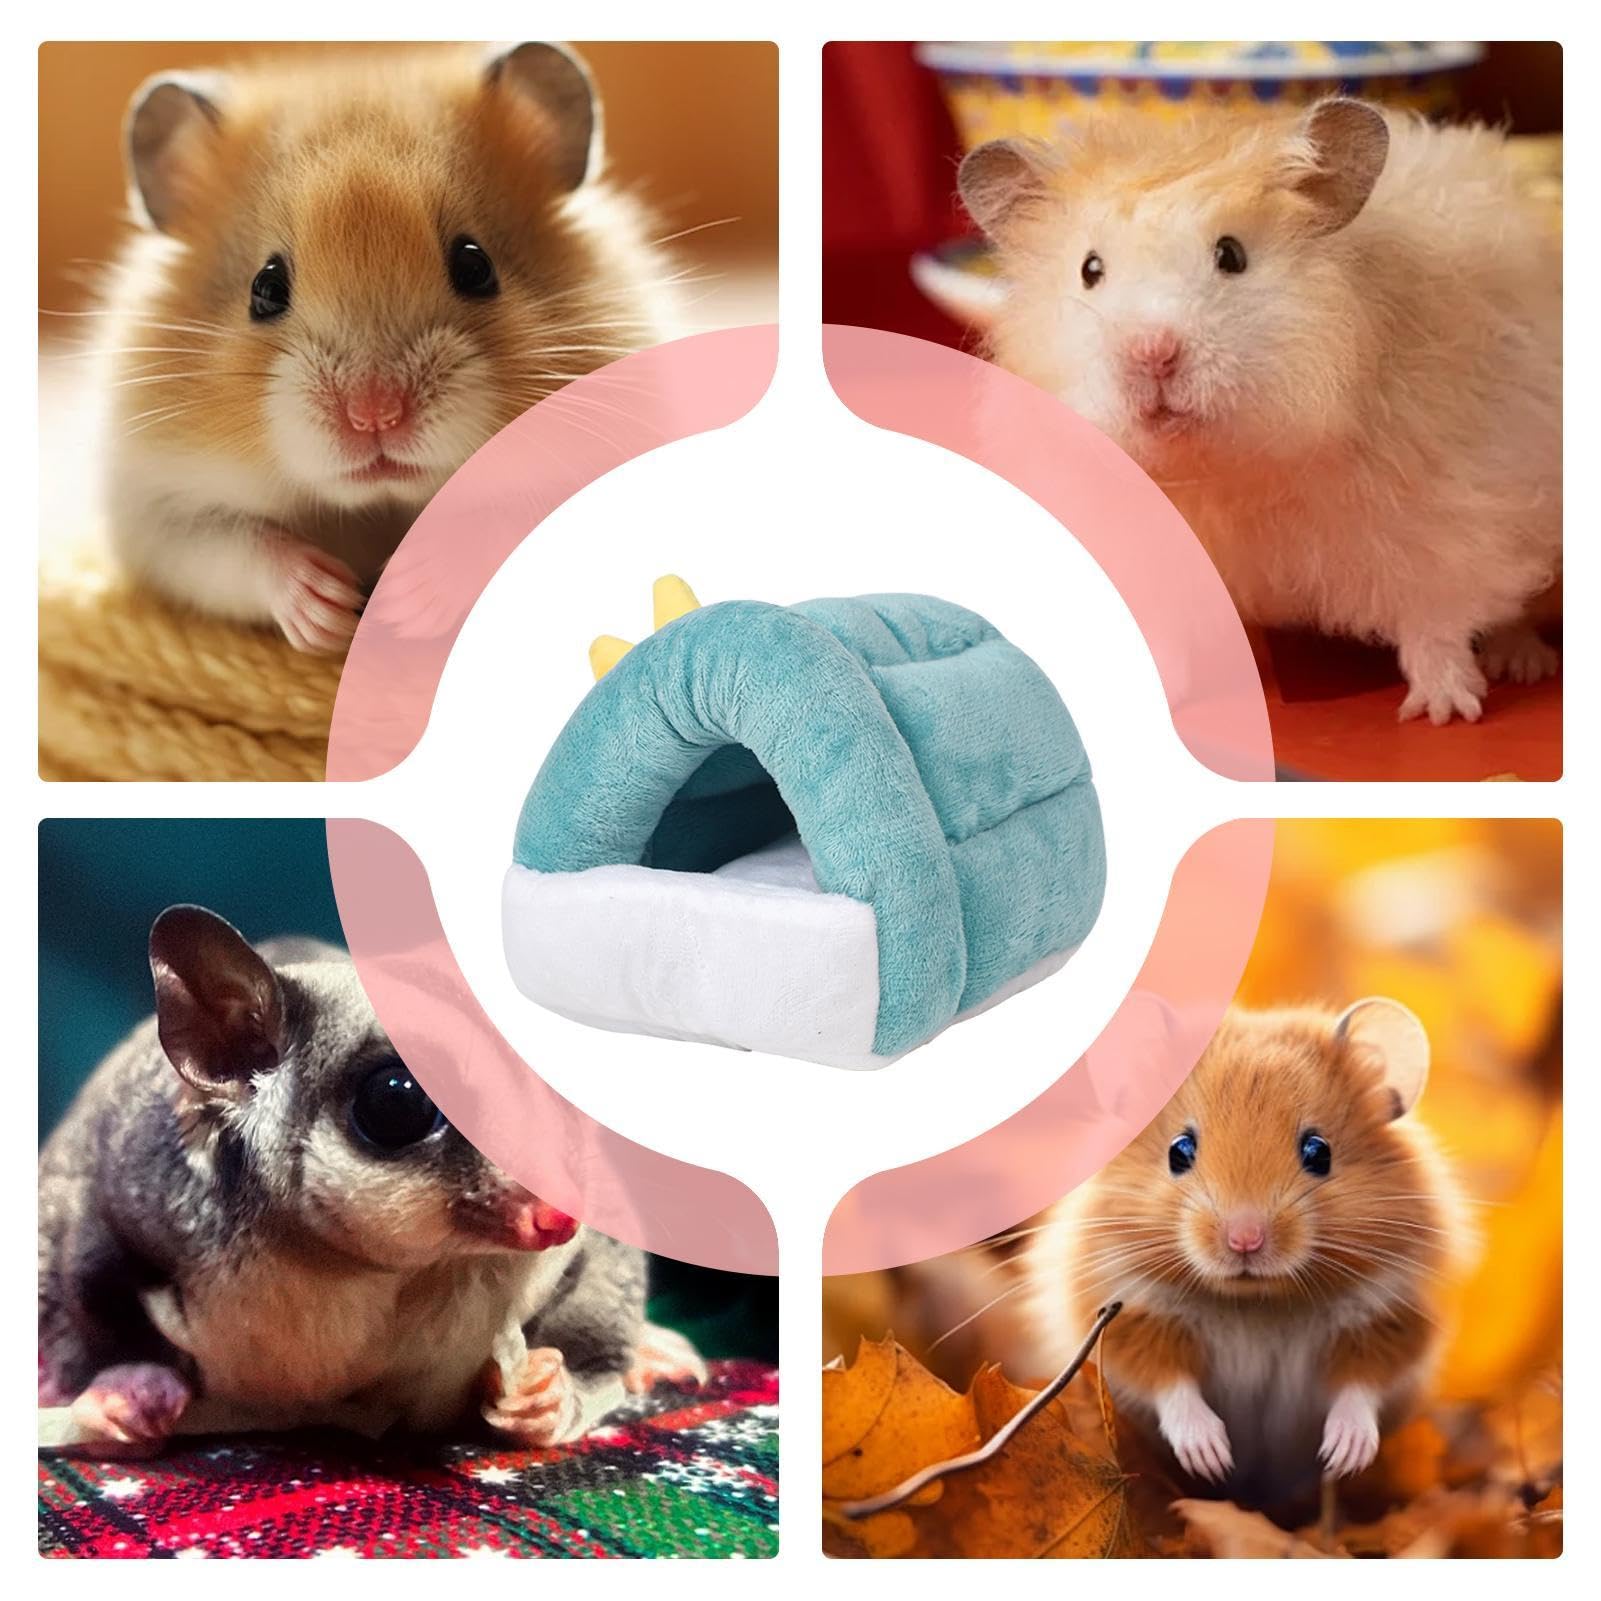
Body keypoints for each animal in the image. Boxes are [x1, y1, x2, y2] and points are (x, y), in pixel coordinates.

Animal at [38, 905, 703, 1457]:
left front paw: (550, 1397)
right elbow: (94, 1264)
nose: (559, 1214)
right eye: (396, 1099)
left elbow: (603, 1280)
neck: (360, 1264)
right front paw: (128, 1392)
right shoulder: (135, 1187)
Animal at [94, 43, 683, 651]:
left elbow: (498, 522)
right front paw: (331, 609)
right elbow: (236, 547)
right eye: (265, 288)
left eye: (476, 266)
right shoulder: (159, 512)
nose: (374, 415)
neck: (381, 503)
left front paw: (398, 599)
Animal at [960, 100, 1562, 724]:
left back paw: (1520, 665)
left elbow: (1434, 626)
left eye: (1231, 255)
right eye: (1090, 269)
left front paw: (1444, 712)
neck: (1223, 468)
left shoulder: (1452, 529)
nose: (1152, 354)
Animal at [1021, 999, 1467, 1508]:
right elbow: (1168, 1382)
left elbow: (1362, 1385)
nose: (1245, 1240)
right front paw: (1212, 1459)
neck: (1256, 1303)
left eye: (1319, 1152)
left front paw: (1342, 1456)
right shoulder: (1130, 1315)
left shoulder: (1390, 1315)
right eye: (1179, 1151)